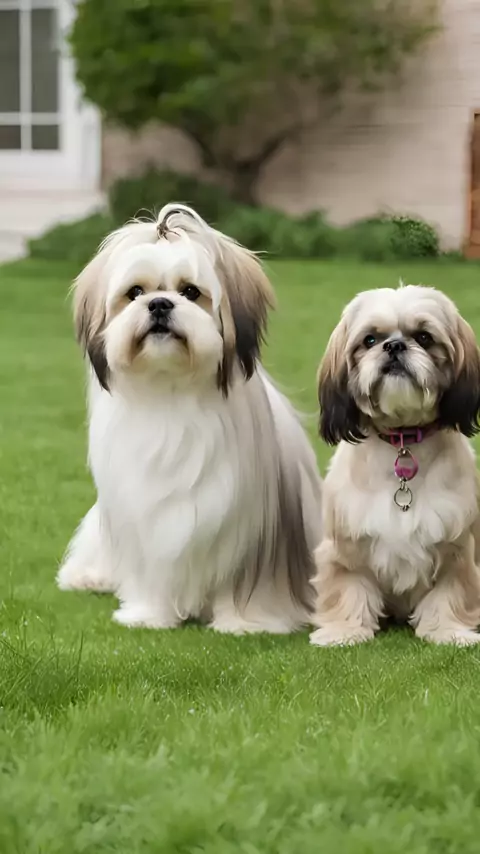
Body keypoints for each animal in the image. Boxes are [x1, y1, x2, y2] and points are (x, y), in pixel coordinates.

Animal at [57, 204, 322, 633]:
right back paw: (89, 576)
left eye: (190, 292)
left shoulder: (250, 531)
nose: (159, 304)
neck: (171, 394)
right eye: (135, 293)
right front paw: (149, 615)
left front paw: (246, 622)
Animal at [310, 283, 480, 646]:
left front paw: (447, 631)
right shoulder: (346, 544)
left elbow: (450, 591)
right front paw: (344, 631)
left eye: (425, 337)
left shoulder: (456, 545)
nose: (395, 346)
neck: (402, 438)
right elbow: (349, 587)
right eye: (370, 340)